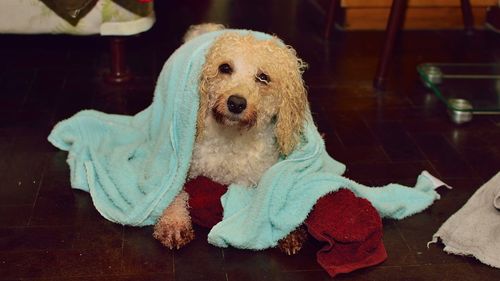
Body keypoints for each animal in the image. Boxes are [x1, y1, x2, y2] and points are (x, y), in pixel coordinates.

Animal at [153, 24, 308, 254]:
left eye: (264, 77)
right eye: (224, 68)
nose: (236, 103)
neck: (231, 139)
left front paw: (287, 230)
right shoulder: (184, 166)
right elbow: (175, 191)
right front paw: (173, 223)